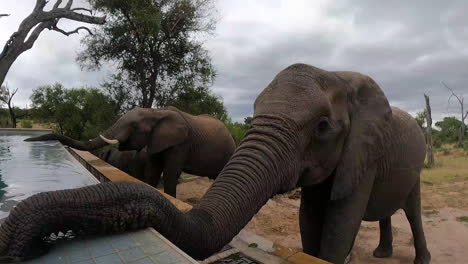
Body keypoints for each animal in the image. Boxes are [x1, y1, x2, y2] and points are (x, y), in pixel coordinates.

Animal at [23, 106, 236, 197]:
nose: (26, 139)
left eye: (133, 126)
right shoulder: (156, 141)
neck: (157, 112)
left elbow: (170, 173)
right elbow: (153, 172)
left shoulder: (181, 143)